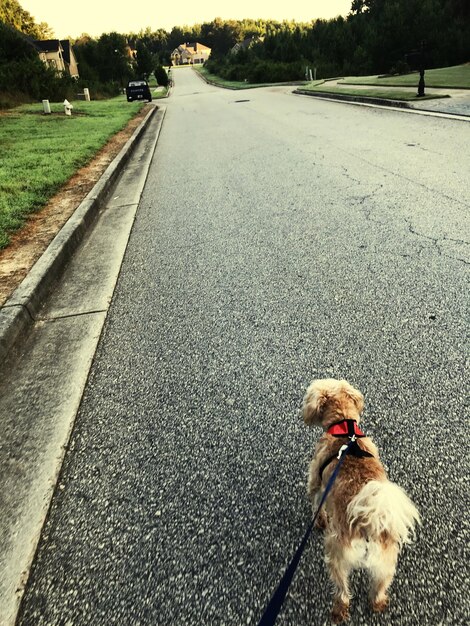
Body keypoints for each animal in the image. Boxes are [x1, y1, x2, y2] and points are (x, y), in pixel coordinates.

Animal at [302, 376, 420, 620]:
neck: (344, 427)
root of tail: (369, 524)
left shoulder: (316, 481)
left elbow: (317, 504)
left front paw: (319, 521)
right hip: (386, 562)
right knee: (379, 586)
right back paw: (378, 603)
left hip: (337, 553)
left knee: (342, 588)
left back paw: (339, 610)